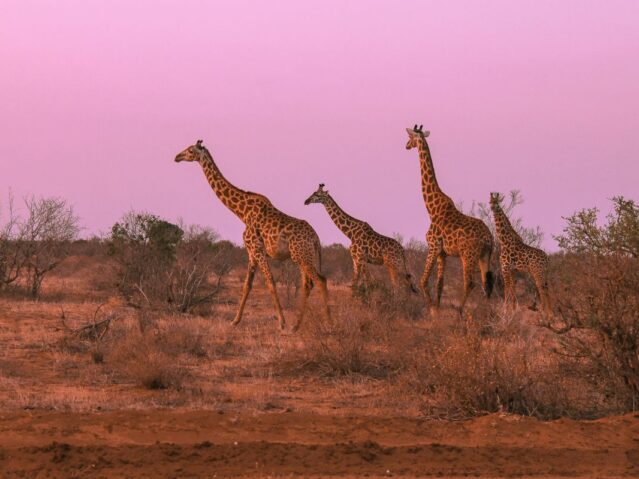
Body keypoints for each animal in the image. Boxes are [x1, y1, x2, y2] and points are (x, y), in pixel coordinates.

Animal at [178, 141, 332, 332]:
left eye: (190, 150)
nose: (177, 157)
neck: (242, 213)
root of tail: (316, 238)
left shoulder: (257, 249)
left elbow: (270, 282)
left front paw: (281, 323)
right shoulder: (251, 252)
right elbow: (247, 285)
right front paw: (235, 321)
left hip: (302, 256)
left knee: (321, 280)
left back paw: (329, 324)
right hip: (303, 256)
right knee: (308, 284)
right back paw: (296, 326)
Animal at [404, 124, 496, 314]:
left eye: (410, 137)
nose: (406, 146)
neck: (432, 208)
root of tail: (489, 238)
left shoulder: (433, 246)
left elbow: (423, 280)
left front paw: (432, 309)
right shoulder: (443, 253)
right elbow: (440, 284)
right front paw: (437, 311)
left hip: (467, 256)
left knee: (470, 283)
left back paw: (460, 311)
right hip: (485, 255)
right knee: (487, 284)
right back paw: (488, 314)